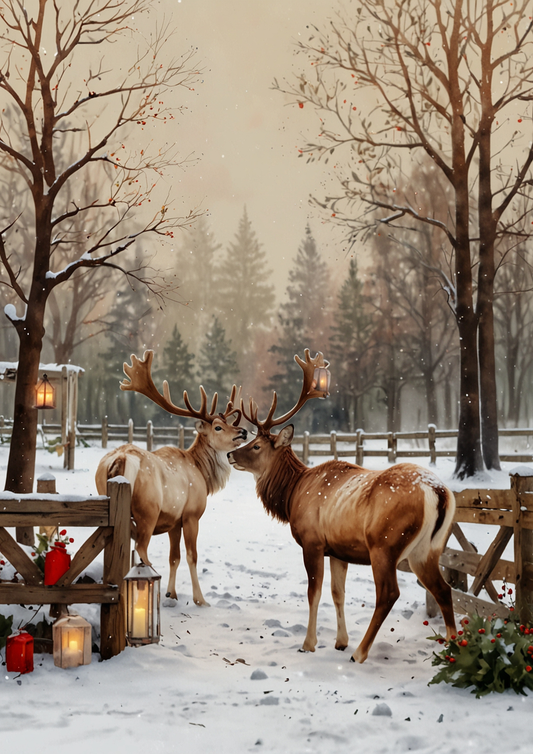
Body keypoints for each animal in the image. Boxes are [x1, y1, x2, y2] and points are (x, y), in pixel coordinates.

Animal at [95, 350, 247, 606]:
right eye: (218, 427)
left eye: (228, 422)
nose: (244, 431)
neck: (201, 472)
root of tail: (121, 459)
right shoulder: (191, 514)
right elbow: (192, 556)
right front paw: (200, 600)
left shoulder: (173, 520)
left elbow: (174, 557)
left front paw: (172, 594)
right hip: (148, 510)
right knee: (142, 548)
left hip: (106, 500)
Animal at [228, 349, 456, 663]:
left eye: (256, 446)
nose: (229, 454)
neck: (292, 494)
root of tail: (437, 491)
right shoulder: (338, 549)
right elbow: (338, 593)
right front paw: (340, 641)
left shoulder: (312, 541)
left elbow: (314, 592)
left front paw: (309, 643)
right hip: (428, 549)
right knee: (444, 589)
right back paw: (453, 648)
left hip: (384, 543)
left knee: (389, 593)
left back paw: (360, 653)